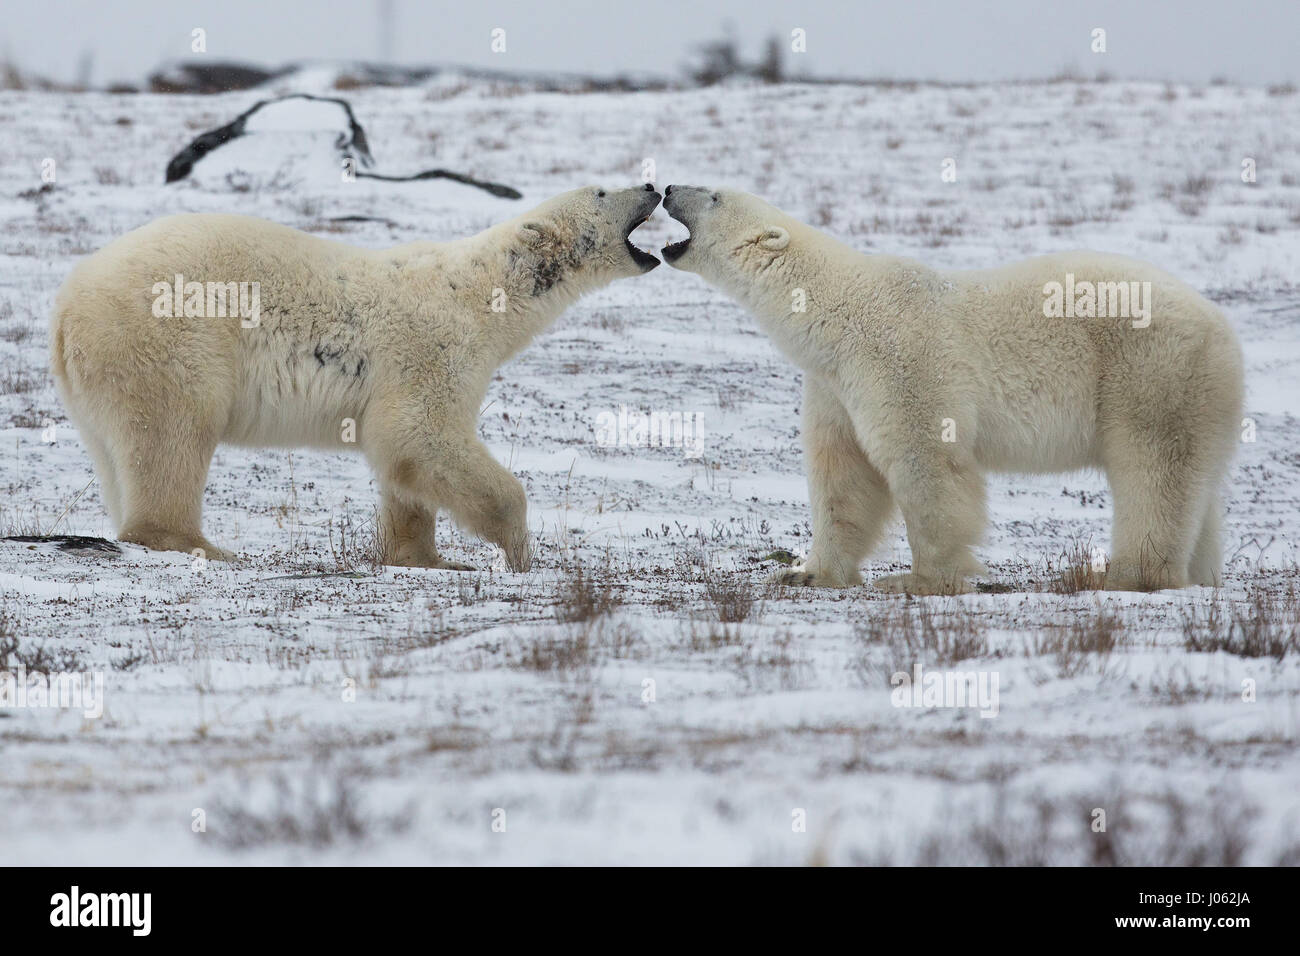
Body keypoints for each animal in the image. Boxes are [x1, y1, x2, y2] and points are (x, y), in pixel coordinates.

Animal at [50, 184, 663, 569]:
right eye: (602, 191)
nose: (653, 183)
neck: (481, 293)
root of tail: (67, 304)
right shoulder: (430, 346)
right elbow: (421, 434)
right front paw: (516, 551)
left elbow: (403, 463)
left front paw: (428, 558)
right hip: (169, 337)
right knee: (175, 433)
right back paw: (201, 544)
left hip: (98, 379)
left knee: (118, 450)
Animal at [661, 185, 1244, 594]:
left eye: (714, 195)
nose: (666, 188)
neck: (841, 310)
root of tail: (1222, 327)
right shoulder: (835, 385)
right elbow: (843, 474)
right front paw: (806, 571)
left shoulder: (902, 360)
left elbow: (926, 462)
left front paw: (920, 579)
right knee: (1196, 488)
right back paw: (1198, 573)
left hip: (1153, 372)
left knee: (1151, 469)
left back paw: (1123, 574)